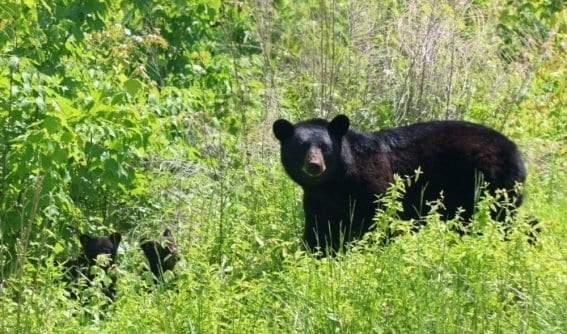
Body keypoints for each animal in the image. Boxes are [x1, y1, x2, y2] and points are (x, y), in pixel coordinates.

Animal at [272, 113, 532, 254]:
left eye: (325, 147)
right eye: (301, 146)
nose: (314, 165)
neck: (337, 182)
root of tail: (516, 152)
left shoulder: (374, 186)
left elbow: (381, 222)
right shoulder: (318, 199)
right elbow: (318, 231)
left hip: (489, 183)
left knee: (500, 220)